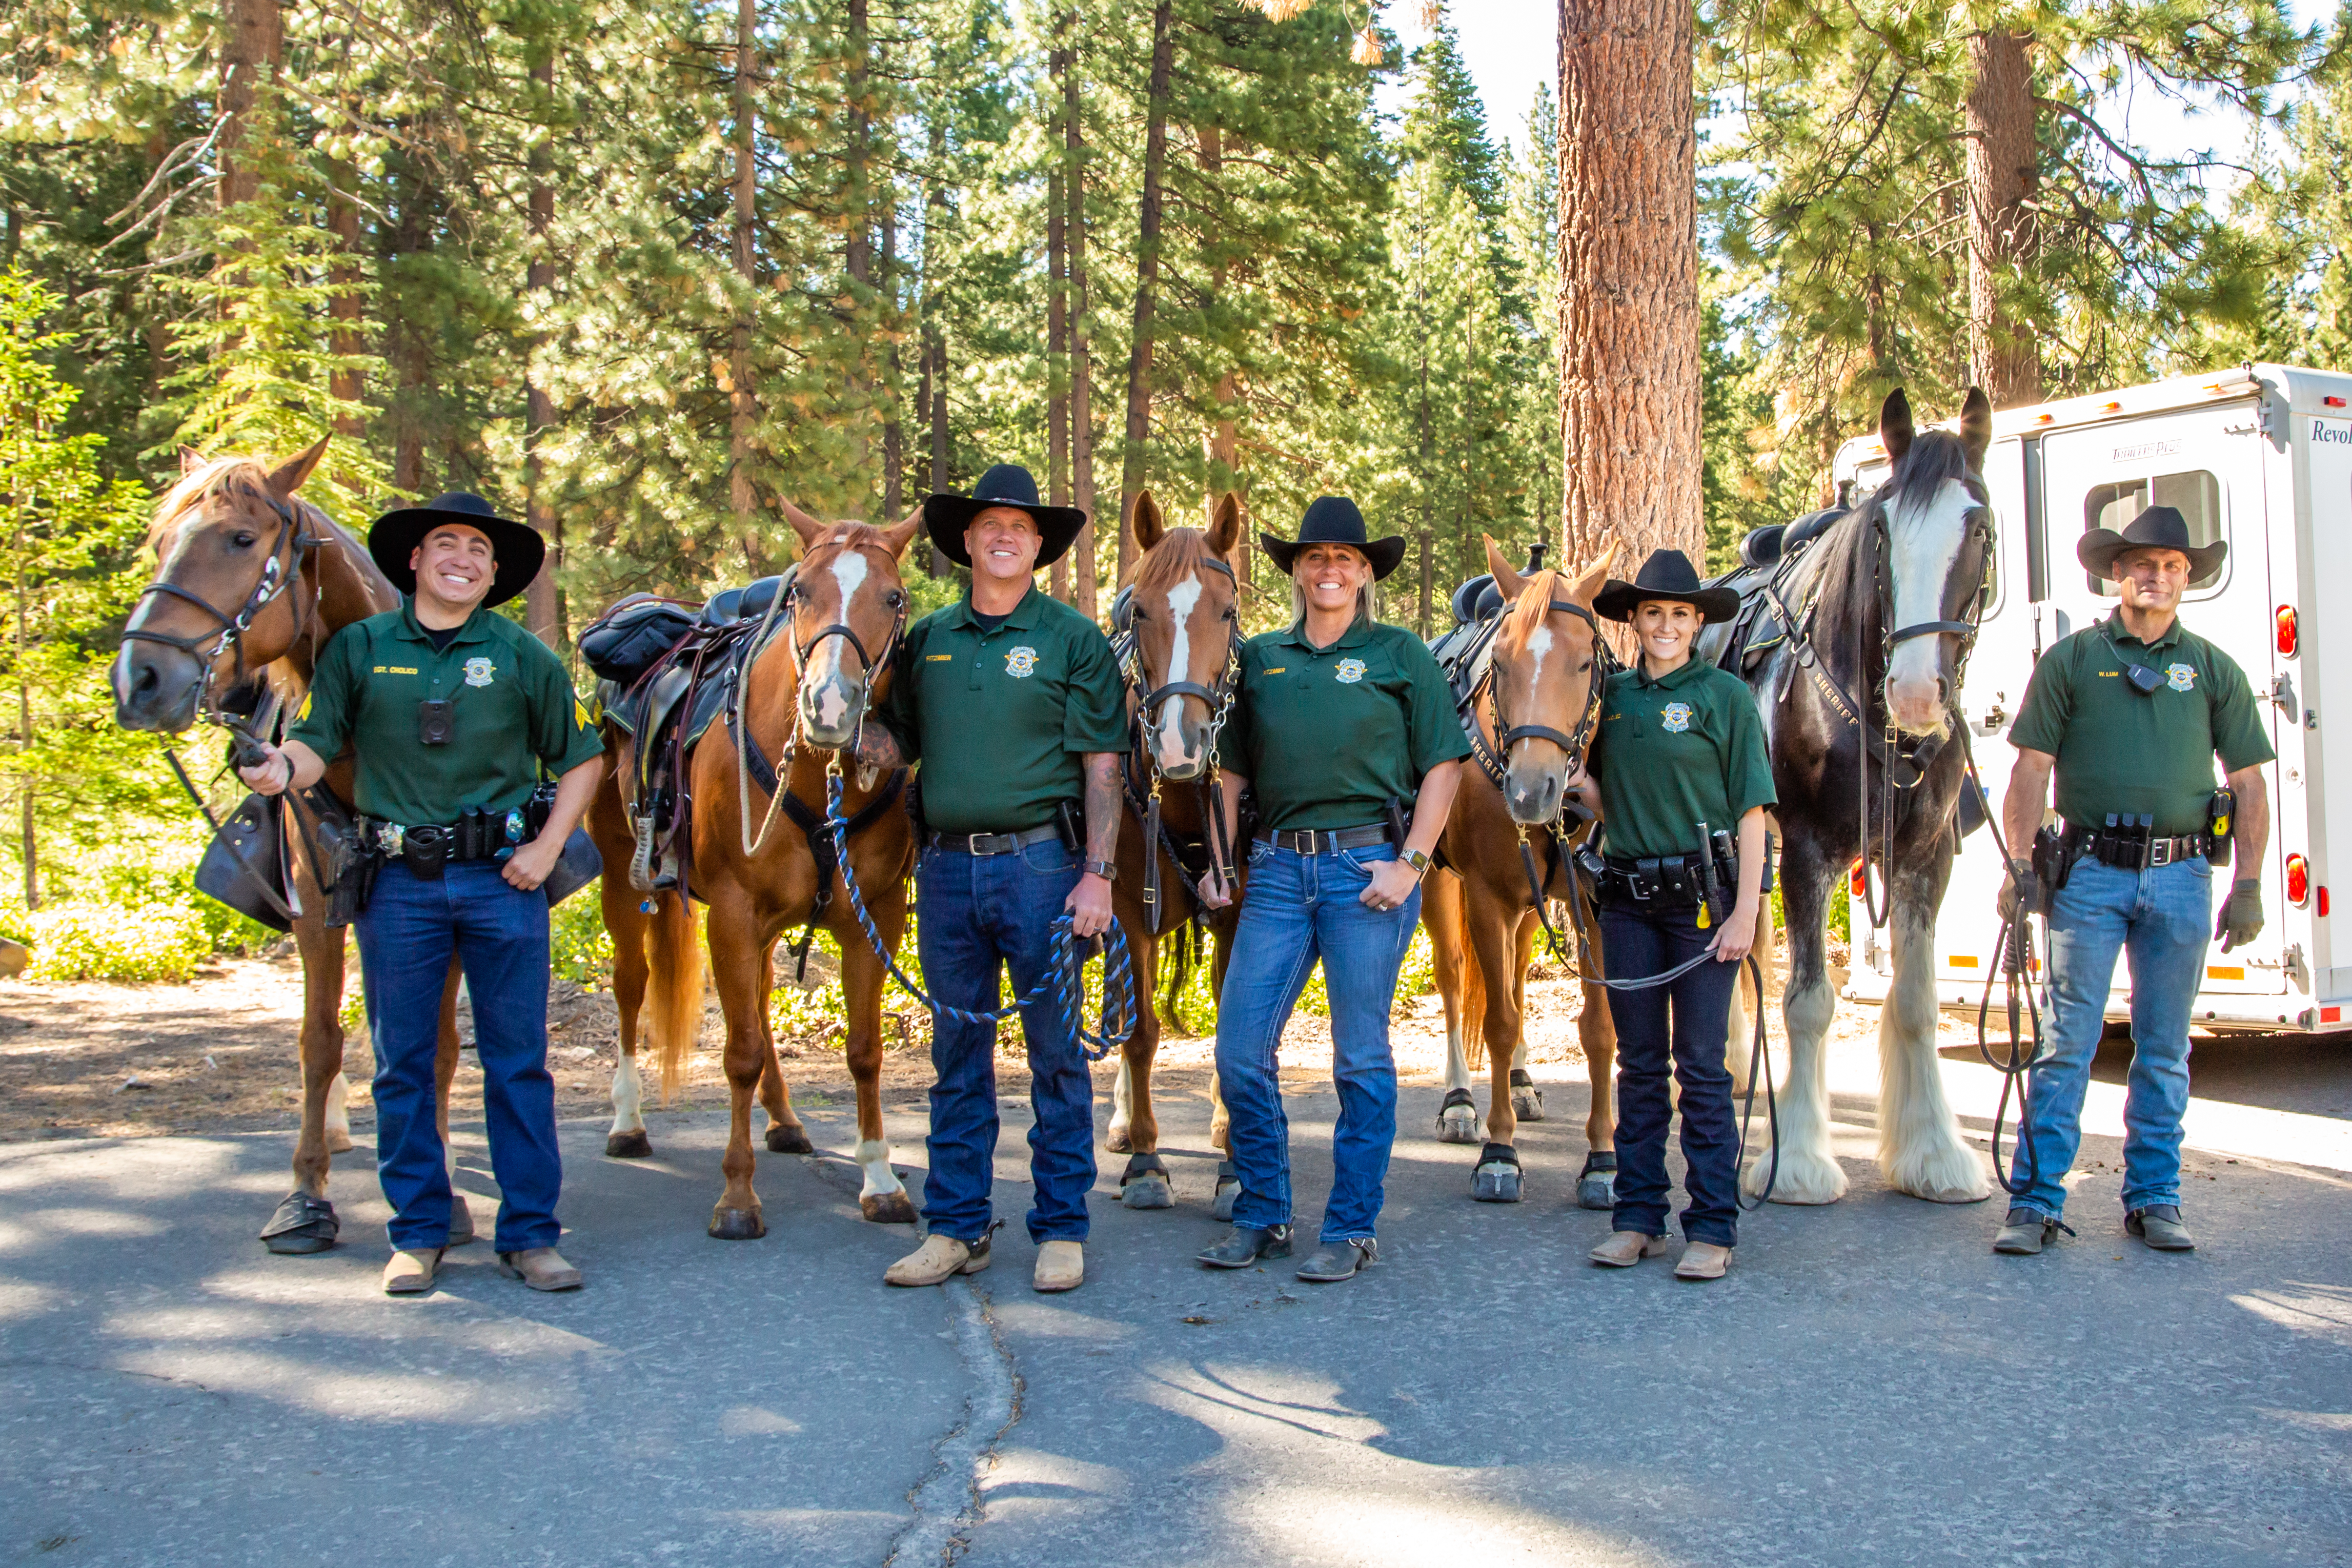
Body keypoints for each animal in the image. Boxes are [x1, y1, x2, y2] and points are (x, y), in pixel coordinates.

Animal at [112, 442, 470, 1250]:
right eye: (159, 541)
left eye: (242, 539)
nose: (139, 678)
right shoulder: (314, 902)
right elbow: (319, 1040)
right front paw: (307, 1192)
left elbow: (434, 1041)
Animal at [588, 503, 926, 1241]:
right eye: (799, 592)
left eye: (893, 597)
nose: (830, 704)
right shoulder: (735, 915)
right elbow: (737, 1052)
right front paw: (737, 1196)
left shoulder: (875, 916)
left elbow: (864, 1050)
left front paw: (881, 1179)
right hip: (621, 877)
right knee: (632, 988)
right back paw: (627, 1121)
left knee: (764, 999)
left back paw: (786, 1118)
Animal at [1421, 540, 1627, 1213]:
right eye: (1502, 663)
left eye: (1586, 661)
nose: (1531, 790)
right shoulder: (1486, 896)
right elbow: (1500, 1020)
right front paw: (1499, 1152)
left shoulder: (1596, 903)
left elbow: (1600, 1030)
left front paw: (1603, 1161)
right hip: (1440, 887)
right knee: (1456, 979)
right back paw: (1461, 1101)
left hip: (1531, 908)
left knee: (1513, 967)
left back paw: (1520, 1081)